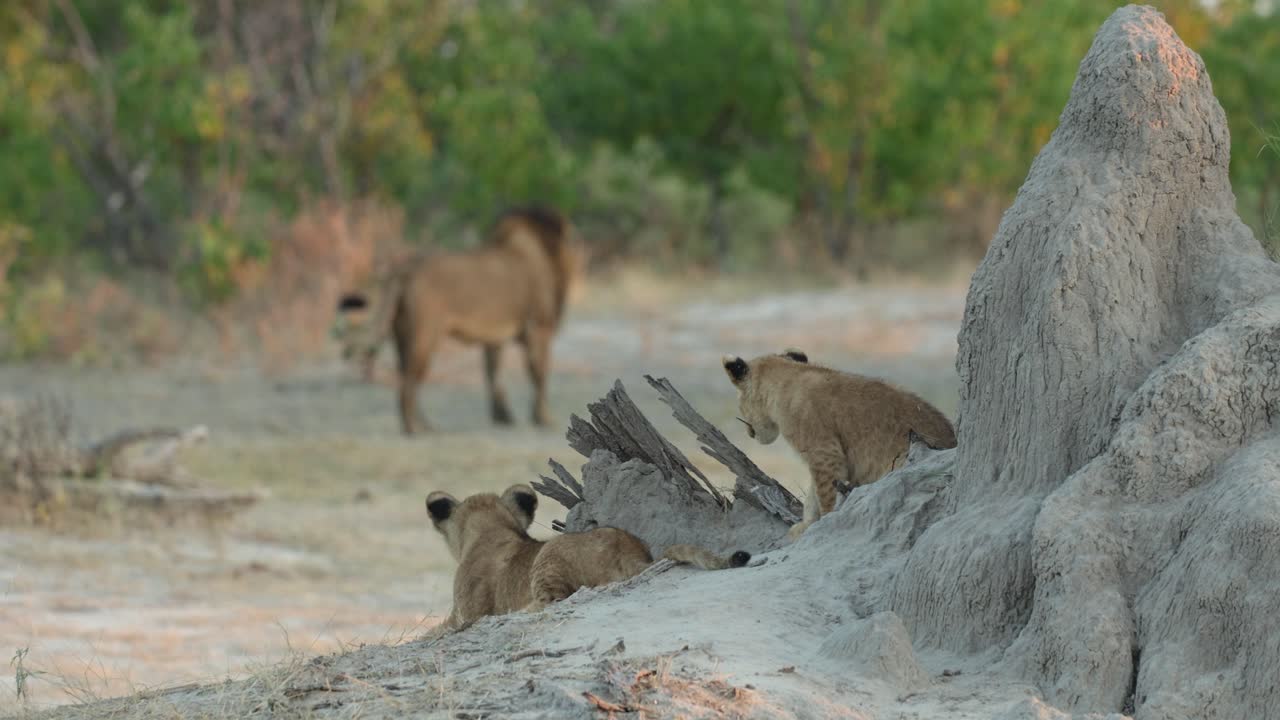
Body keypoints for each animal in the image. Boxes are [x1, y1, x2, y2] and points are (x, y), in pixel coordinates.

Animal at [335, 207, 582, 434]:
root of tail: (405, 269)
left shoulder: (495, 337)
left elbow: (493, 374)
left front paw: (503, 418)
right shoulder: (538, 328)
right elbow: (539, 374)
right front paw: (543, 419)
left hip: (402, 337)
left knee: (405, 379)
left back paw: (426, 426)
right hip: (424, 336)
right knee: (408, 384)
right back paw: (413, 429)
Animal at [722, 349, 956, 539]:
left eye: (740, 404)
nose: (749, 433)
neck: (788, 377)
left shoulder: (824, 452)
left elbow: (825, 495)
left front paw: (822, 524)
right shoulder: (821, 457)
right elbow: (812, 494)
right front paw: (805, 526)